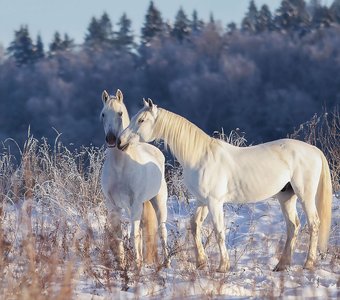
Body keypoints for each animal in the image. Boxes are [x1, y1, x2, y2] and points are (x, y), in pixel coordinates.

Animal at [101, 90, 170, 268]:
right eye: (103, 114)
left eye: (120, 113)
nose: (112, 139)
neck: (120, 166)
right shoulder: (113, 206)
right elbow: (119, 236)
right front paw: (122, 265)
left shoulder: (135, 203)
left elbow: (134, 235)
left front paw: (137, 265)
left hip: (157, 202)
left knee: (162, 231)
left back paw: (166, 263)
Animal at [117, 99, 332, 274]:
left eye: (141, 120)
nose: (119, 141)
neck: (200, 156)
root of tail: (314, 150)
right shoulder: (203, 201)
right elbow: (194, 226)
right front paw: (201, 263)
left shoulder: (214, 202)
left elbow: (219, 231)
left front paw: (222, 266)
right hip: (286, 197)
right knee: (293, 226)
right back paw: (281, 265)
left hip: (305, 196)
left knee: (314, 224)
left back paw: (308, 264)